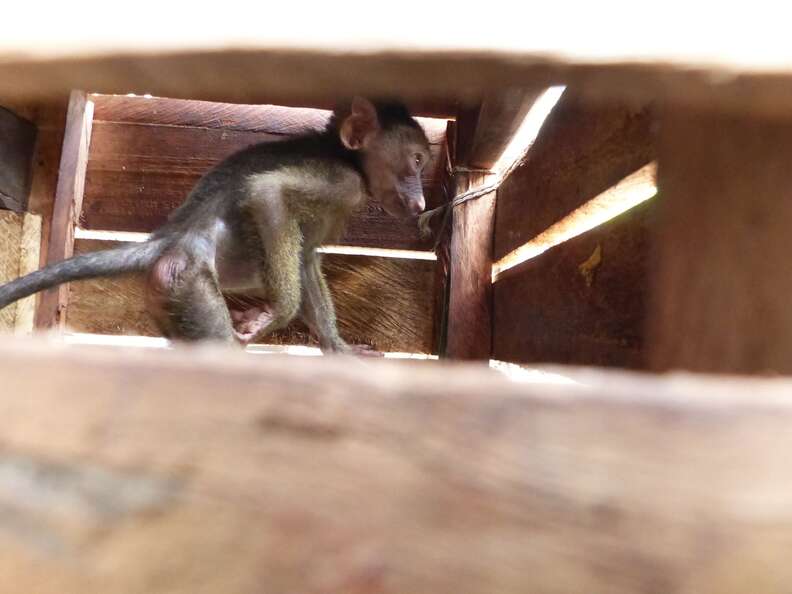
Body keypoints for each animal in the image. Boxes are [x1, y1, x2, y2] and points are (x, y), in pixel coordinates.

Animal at [0, 97, 431, 355]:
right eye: (417, 161)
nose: (421, 202)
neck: (344, 156)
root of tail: (171, 238)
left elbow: (305, 257)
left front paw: (336, 345)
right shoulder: (341, 180)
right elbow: (267, 193)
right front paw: (277, 313)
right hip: (185, 279)